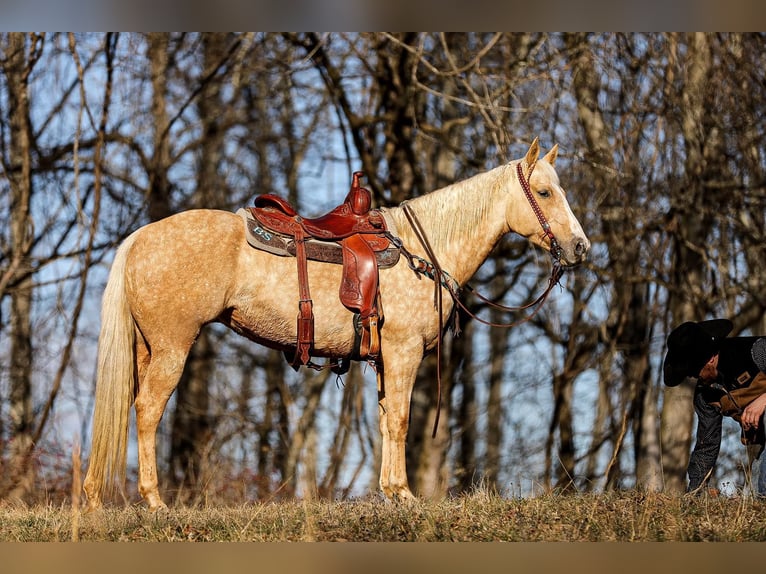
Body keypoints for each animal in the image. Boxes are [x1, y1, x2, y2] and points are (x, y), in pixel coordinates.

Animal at [82, 140, 588, 512]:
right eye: (545, 193)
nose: (580, 247)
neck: (422, 250)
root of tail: (139, 238)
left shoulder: (386, 360)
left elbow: (386, 419)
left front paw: (390, 491)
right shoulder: (403, 353)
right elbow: (401, 419)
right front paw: (404, 494)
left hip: (146, 349)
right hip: (173, 346)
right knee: (149, 410)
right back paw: (154, 502)